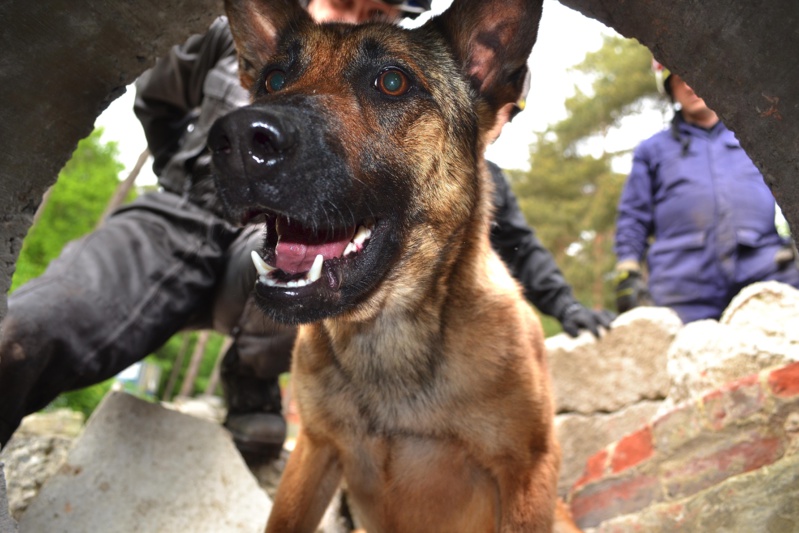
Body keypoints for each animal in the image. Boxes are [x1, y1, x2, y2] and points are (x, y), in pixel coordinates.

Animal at [211, 0, 564, 528]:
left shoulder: (528, 469)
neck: (384, 334)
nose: (235, 139)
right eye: (273, 79)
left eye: (392, 82)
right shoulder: (314, 451)